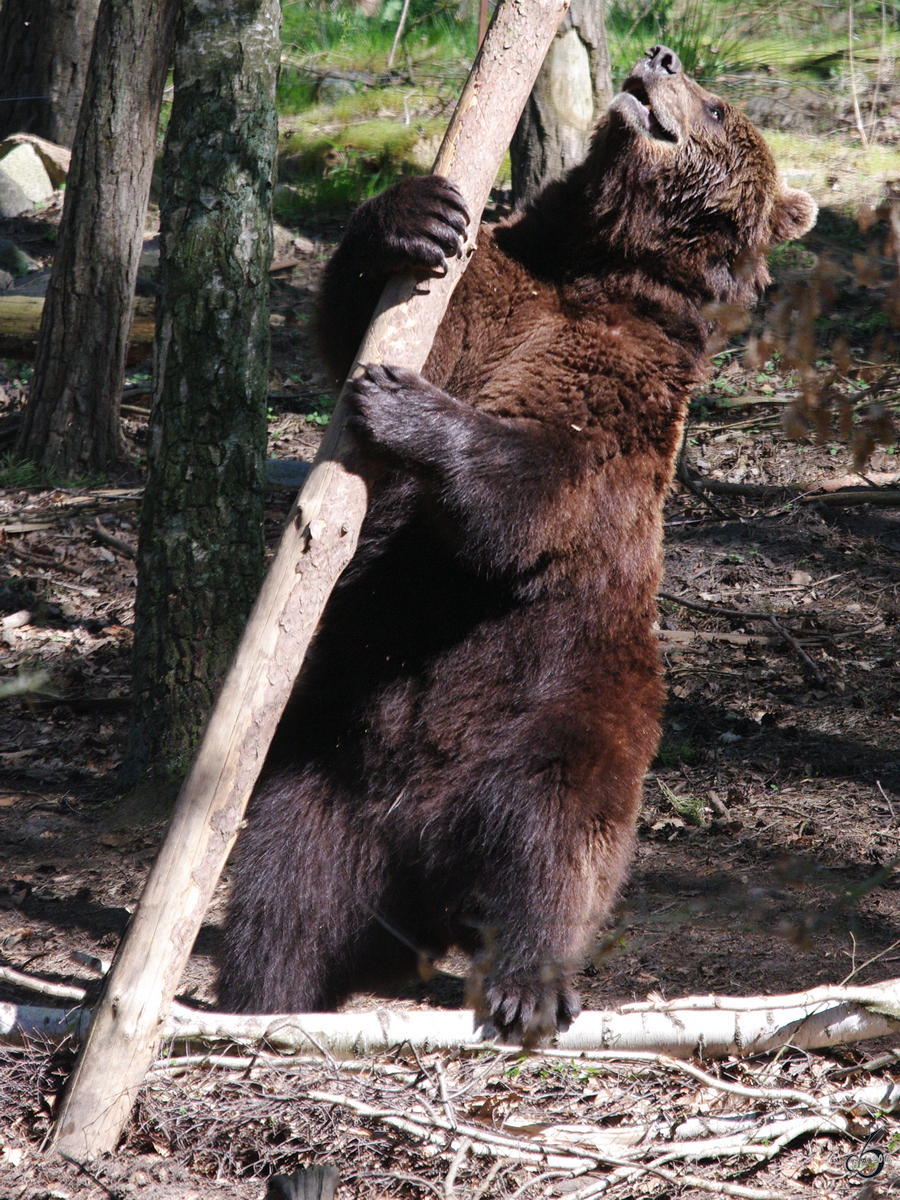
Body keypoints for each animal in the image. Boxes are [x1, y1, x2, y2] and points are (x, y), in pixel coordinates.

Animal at [218, 44, 816, 1041]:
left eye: (718, 107)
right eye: (697, 84)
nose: (658, 57)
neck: (606, 259)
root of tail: (423, 868)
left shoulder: (624, 386)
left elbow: (537, 485)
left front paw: (404, 404)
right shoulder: (506, 287)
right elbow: (361, 319)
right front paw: (415, 214)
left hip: (563, 712)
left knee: (553, 847)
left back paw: (527, 985)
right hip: (326, 761)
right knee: (284, 888)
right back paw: (261, 996)